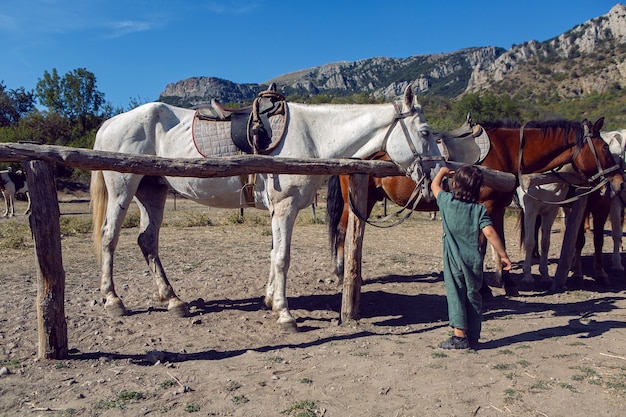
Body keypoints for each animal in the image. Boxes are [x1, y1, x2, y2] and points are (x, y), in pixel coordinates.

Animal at [91, 86, 438, 330]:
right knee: (109, 237)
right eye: (425, 132)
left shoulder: (278, 211)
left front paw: (271, 299)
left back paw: (173, 300)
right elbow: (282, 257)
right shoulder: (285, 208)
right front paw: (285, 315)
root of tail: (110, 123)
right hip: (122, 188)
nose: (438, 173)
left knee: (147, 240)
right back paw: (113, 300)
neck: (312, 136)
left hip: (152, 191)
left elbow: (273, 254)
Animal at [324, 117, 620, 296]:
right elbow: (480, 247)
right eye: (605, 148)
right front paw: (484, 289)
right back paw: (340, 274)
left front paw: (507, 284)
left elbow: (497, 243)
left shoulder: (496, 208)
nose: (618, 181)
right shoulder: (485, 206)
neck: (506, 150)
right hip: (355, 201)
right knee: (342, 232)